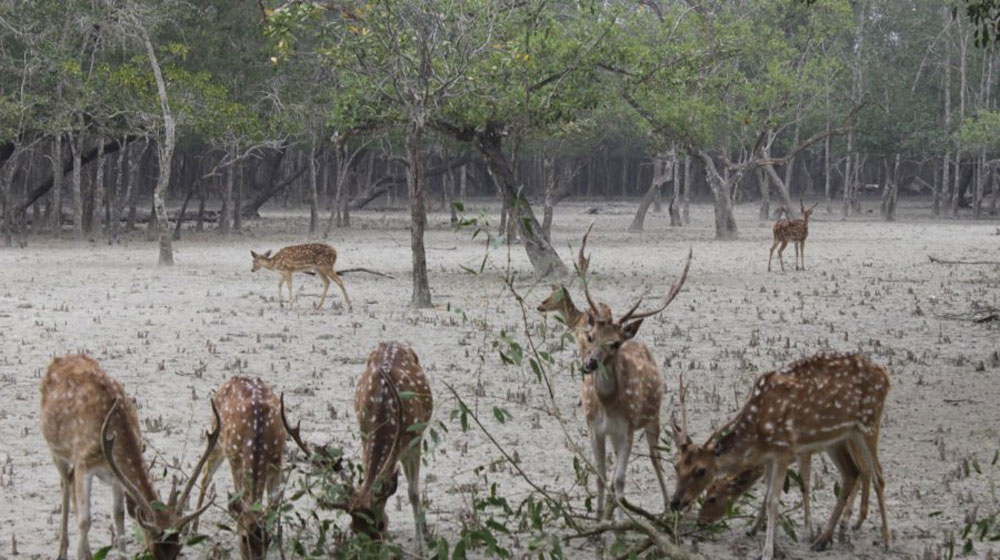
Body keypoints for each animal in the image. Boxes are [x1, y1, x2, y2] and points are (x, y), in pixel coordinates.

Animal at [40, 354, 219, 560]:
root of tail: (60, 358)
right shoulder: (84, 463)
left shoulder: (116, 475)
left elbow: (119, 514)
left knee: (70, 484)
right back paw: (63, 550)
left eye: (177, 551)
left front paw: (121, 554)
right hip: (56, 449)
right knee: (65, 485)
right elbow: (85, 521)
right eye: (153, 550)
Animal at [191, 376, 288, 560]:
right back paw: (192, 530)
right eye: (244, 539)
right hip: (217, 437)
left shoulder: (277, 461)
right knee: (206, 475)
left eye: (268, 539)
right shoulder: (235, 459)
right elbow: (239, 498)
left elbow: (273, 503)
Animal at [286, 340, 434, 548]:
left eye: (381, 524)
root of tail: (393, 342)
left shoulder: (415, 439)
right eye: (353, 528)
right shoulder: (364, 434)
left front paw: (420, 545)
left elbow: (412, 492)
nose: (372, 550)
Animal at [576, 221, 692, 520]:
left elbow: (619, 479)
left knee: (654, 457)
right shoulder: (594, 426)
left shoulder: (627, 427)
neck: (608, 405)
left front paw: (618, 520)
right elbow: (601, 476)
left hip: (654, 416)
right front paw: (598, 519)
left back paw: (666, 505)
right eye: (590, 336)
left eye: (615, 343)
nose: (589, 364)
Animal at [672, 354, 892, 560]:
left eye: (701, 470)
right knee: (852, 473)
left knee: (878, 475)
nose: (675, 502)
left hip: (868, 423)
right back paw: (824, 539)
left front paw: (768, 551)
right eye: (676, 466)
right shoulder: (771, 456)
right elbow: (769, 494)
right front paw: (763, 535)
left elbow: (774, 500)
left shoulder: (785, 449)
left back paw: (885, 540)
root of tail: (885, 377)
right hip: (839, 437)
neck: (759, 434)